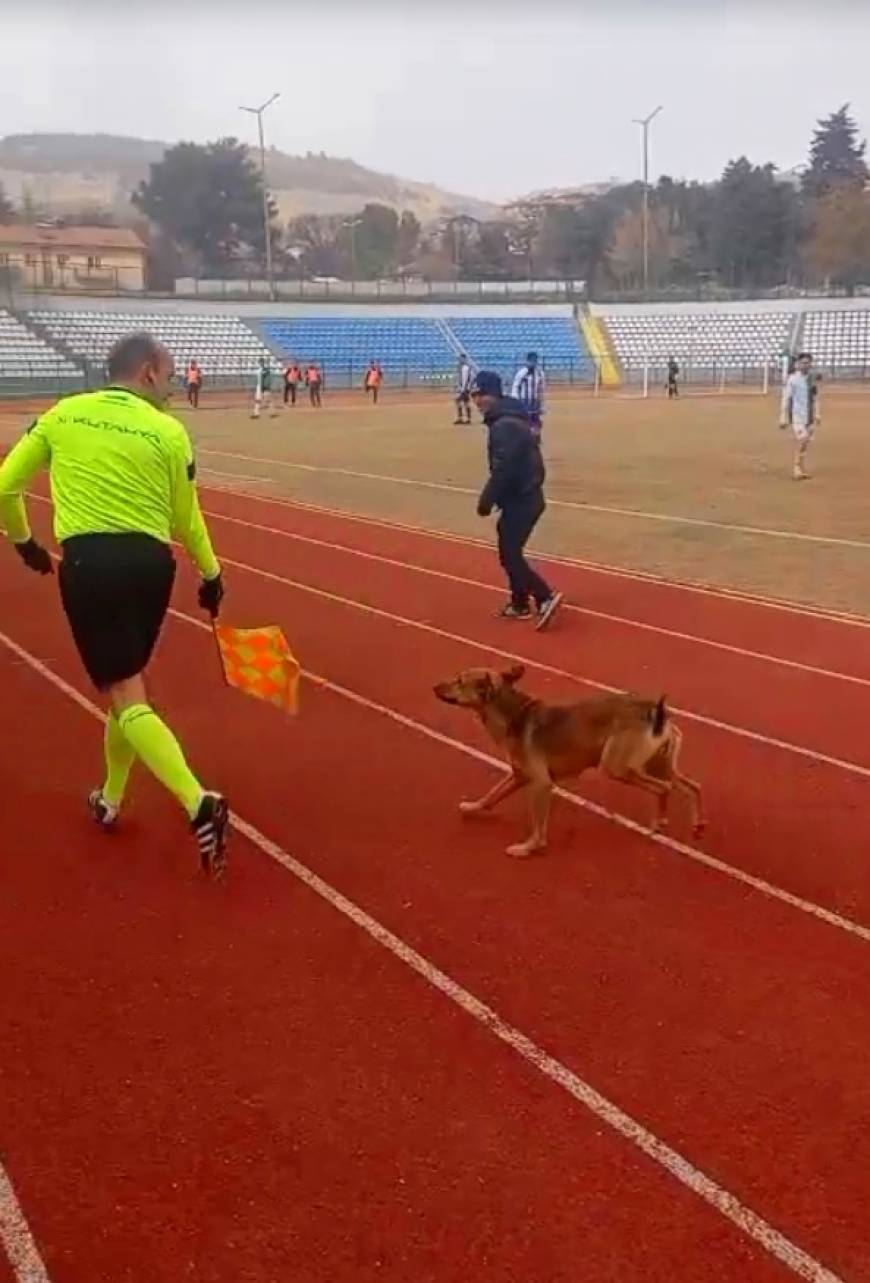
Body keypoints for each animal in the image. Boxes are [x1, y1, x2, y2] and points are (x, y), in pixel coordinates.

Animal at [433, 667, 703, 857]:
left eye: (459, 681)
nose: (434, 686)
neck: (514, 714)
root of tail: (655, 710)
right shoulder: (518, 775)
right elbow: (492, 795)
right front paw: (472, 807)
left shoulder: (541, 784)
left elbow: (538, 825)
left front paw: (529, 848)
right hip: (658, 765)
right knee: (692, 787)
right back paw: (697, 825)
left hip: (618, 767)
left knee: (663, 788)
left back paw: (659, 823)